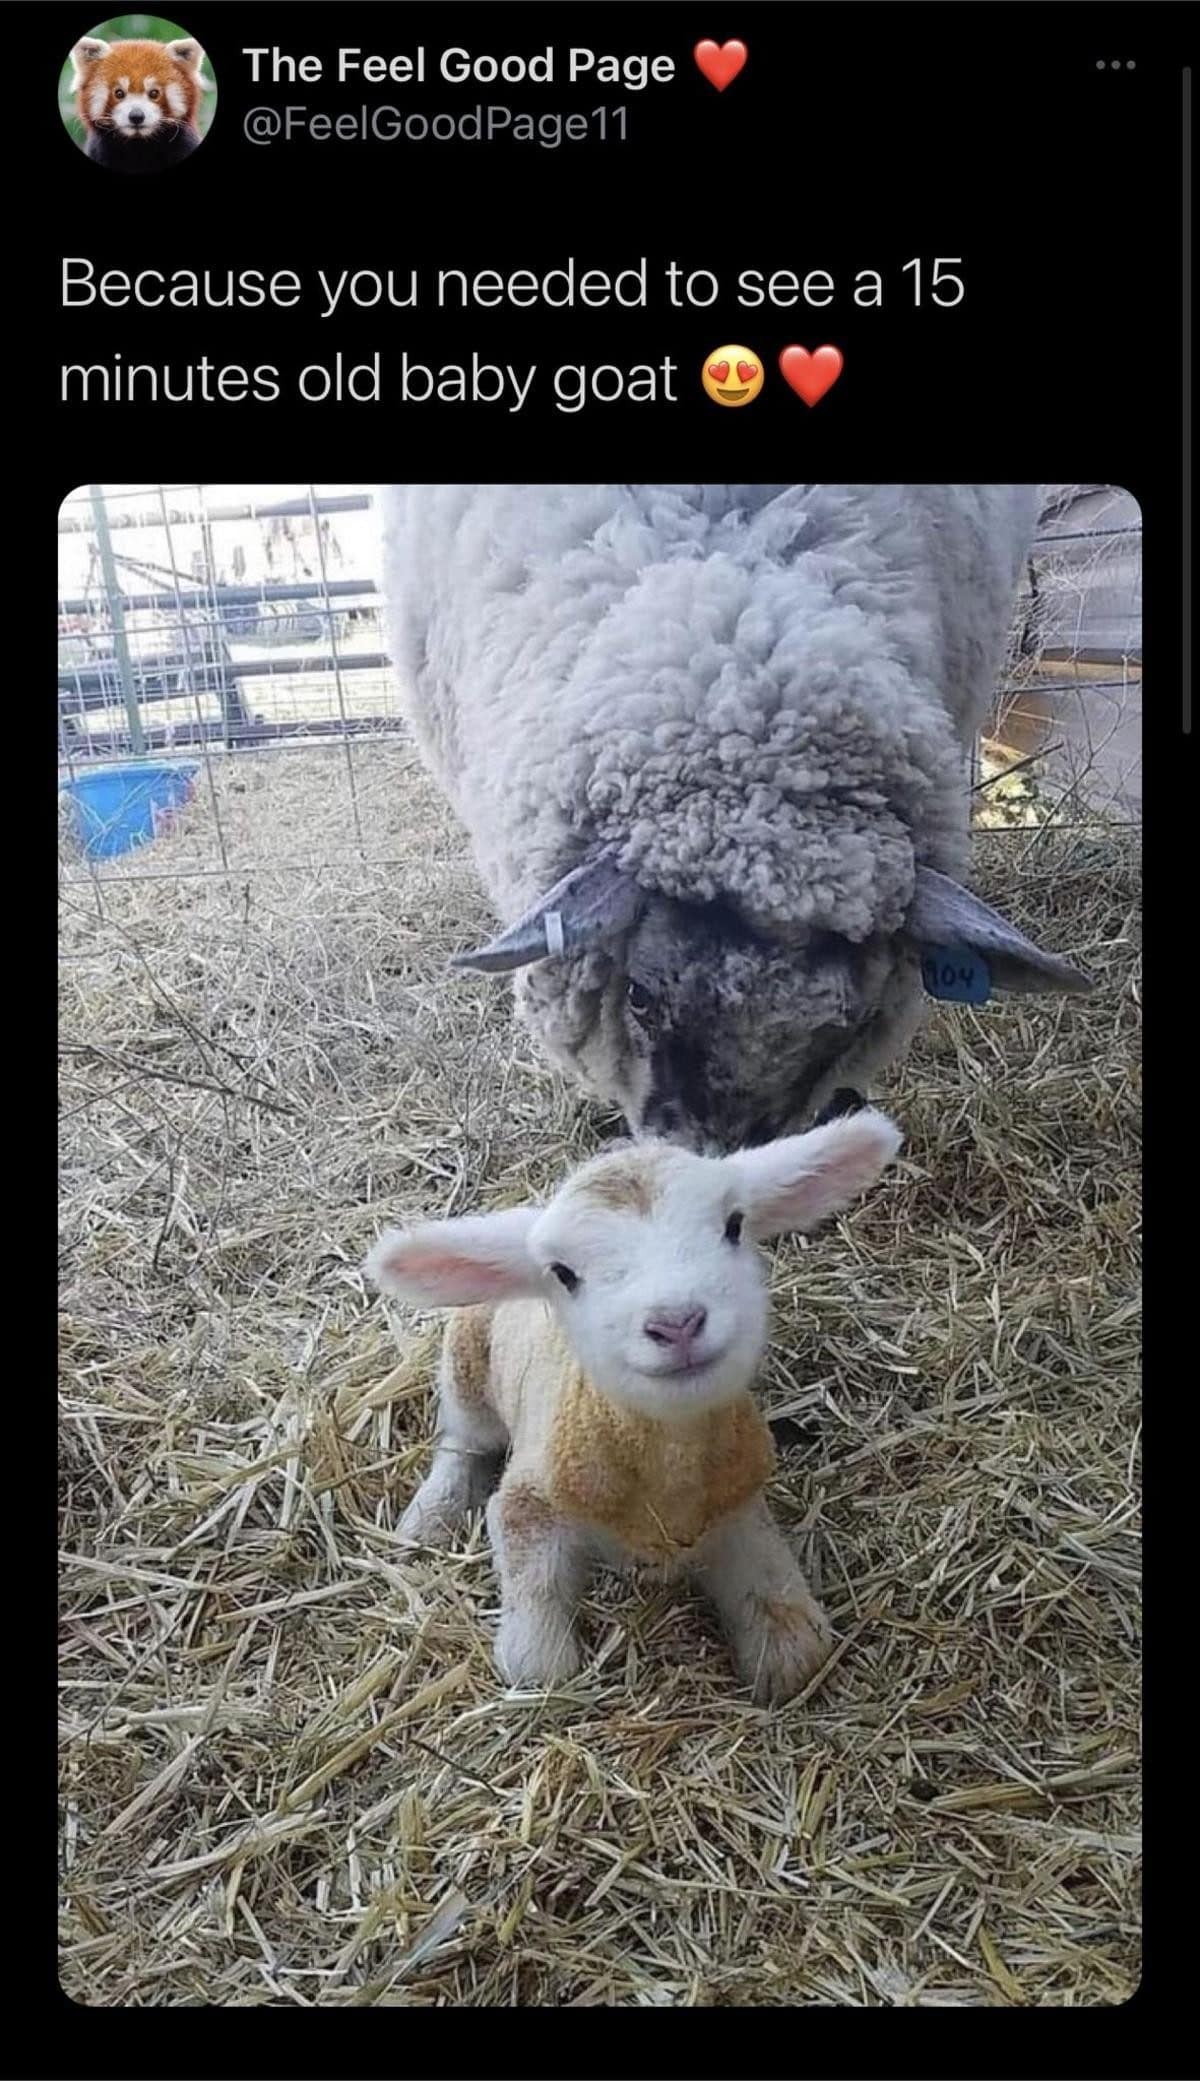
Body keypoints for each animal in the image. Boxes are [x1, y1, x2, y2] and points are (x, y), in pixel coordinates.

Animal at [365, 1107, 902, 1702]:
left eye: (734, 1225)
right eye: (563, 1273)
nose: (677, 1322)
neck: (666, 1475)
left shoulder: (737, 1502)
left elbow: (793, 1635)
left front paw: (780, 1650)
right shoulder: (530, 1501)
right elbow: (538, 1662)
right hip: (467, 1364)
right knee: (462, 1441)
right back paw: (430, 1515)